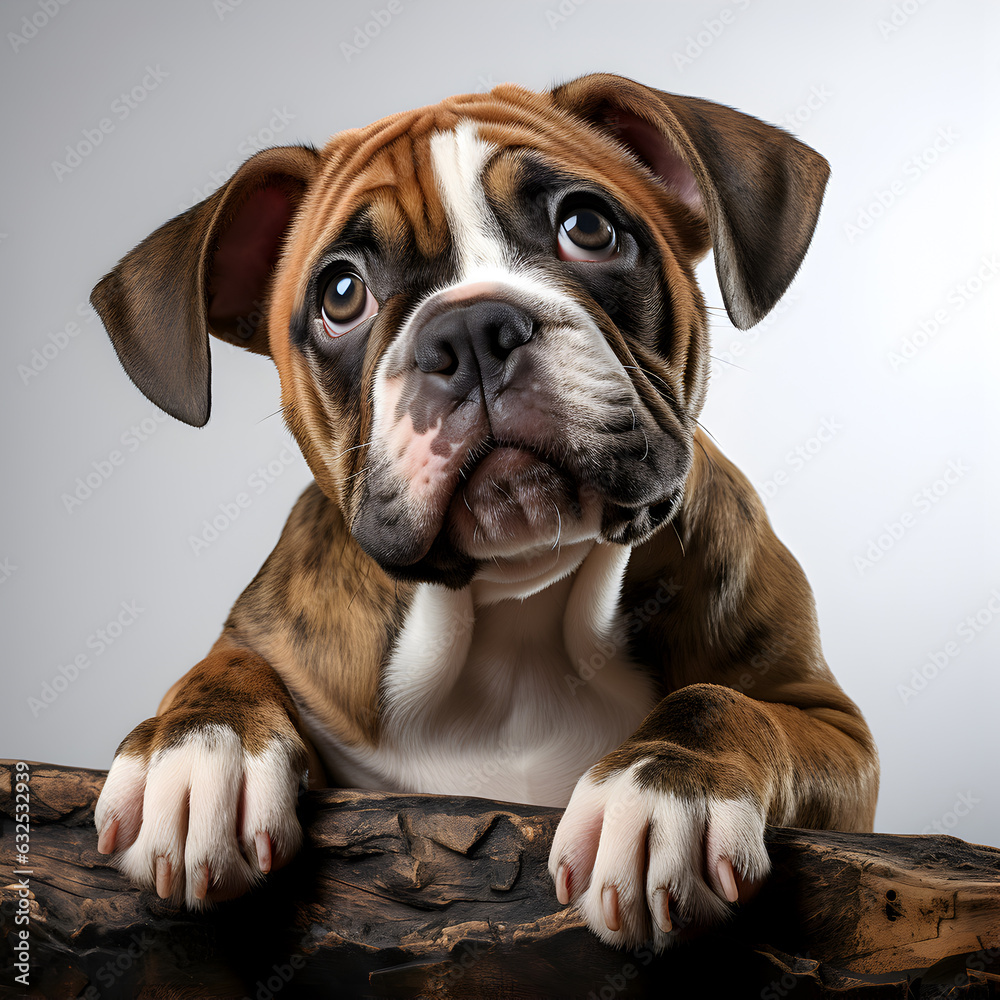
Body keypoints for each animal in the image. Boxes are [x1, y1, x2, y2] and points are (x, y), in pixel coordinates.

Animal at [92, 74, 876, 948]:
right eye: (341, 294)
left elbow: (725, 703)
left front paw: (668, 787)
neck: (513, 602)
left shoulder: (836, 732)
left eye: (587, 227)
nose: (469, 329)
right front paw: (197, 750)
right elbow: (227, 665)